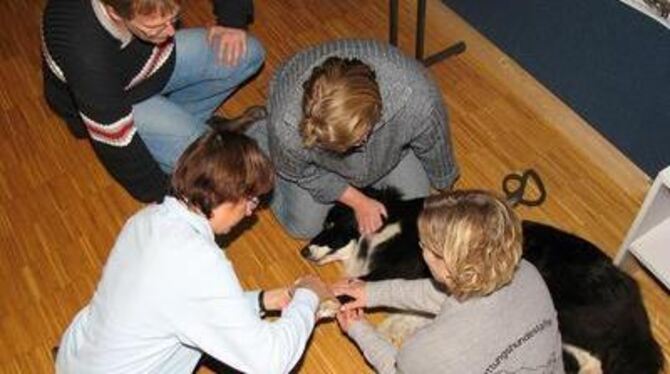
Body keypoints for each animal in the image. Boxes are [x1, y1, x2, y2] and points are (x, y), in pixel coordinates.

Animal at [304, 190, 668, 374]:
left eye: (332, 225)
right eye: (323, 222)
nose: (303, 249)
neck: (385, 227)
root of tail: (631, 292)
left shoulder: (403, 268)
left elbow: (362, 284)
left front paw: (325, 302)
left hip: (566, 307)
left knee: (588, 358)